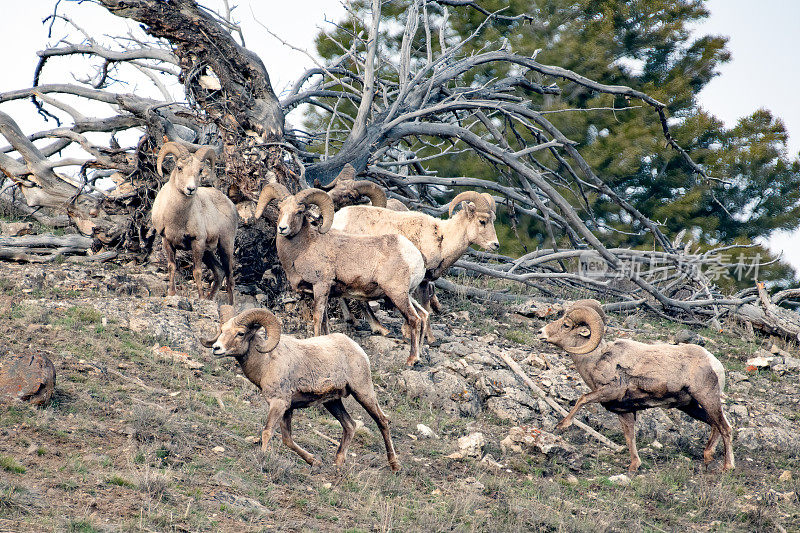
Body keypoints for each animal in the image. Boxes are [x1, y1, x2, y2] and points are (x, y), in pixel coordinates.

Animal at [150, 141, 238, 304]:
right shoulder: (167, 241)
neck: (177, 219)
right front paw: (171, 293)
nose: (190, 189)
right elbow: (171, 267)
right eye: (179, 167)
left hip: (225, 246)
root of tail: (231, 205)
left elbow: (196, 271)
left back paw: (230, 305)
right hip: (208, 252)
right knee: (219, 272)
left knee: (229, 277)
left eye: (200, 170)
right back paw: (210, 299)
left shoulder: (197, 242)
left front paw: (201, 297)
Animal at [202, 304, 398, 470]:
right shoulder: (287, 409)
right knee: (350, 425)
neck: (266, 363)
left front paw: (262, 457)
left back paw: (394, 465)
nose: (216, 348)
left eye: (241, 333)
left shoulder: (278, 404)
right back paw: (337, 464)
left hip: (363, 393)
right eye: (222, 331)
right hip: (332, 402)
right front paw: (314, 461)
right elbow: (287, 439)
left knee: (382, 421)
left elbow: (267, 432)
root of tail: (358, 349)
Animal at [256, 184, 432, 366]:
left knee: (414, 319)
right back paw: (419, 355)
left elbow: (317, 317)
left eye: (299, 211)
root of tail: (414, 255)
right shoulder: (323, 293)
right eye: (280, 209)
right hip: (406, 295)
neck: (304, 249)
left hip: (397, 294)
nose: (282, 228)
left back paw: (412, 360)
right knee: (423, 315)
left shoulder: (321, 286)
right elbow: (325, 320)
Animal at [330, 193, 496, 338]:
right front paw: (420, 336)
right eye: (482, 221)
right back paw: (379, 328)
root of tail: (337, 220)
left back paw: (354, 321)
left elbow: (424, 307)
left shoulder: (423, 282)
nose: (496, 245)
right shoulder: (419, 282)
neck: (442, 238)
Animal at [540, 300, 736, 470]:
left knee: (725, 428)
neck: (597, 360)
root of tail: (715, 363)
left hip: (707, 399)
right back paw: (708, 456)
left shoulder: (609, 391)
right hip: (690, 406)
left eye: (566, 325)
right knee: (715, 425)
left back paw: (727, 467)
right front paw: (634, 466)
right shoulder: (624, 411)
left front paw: (562, 425)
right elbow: (629, 438)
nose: (541, 332)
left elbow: (582, 399)